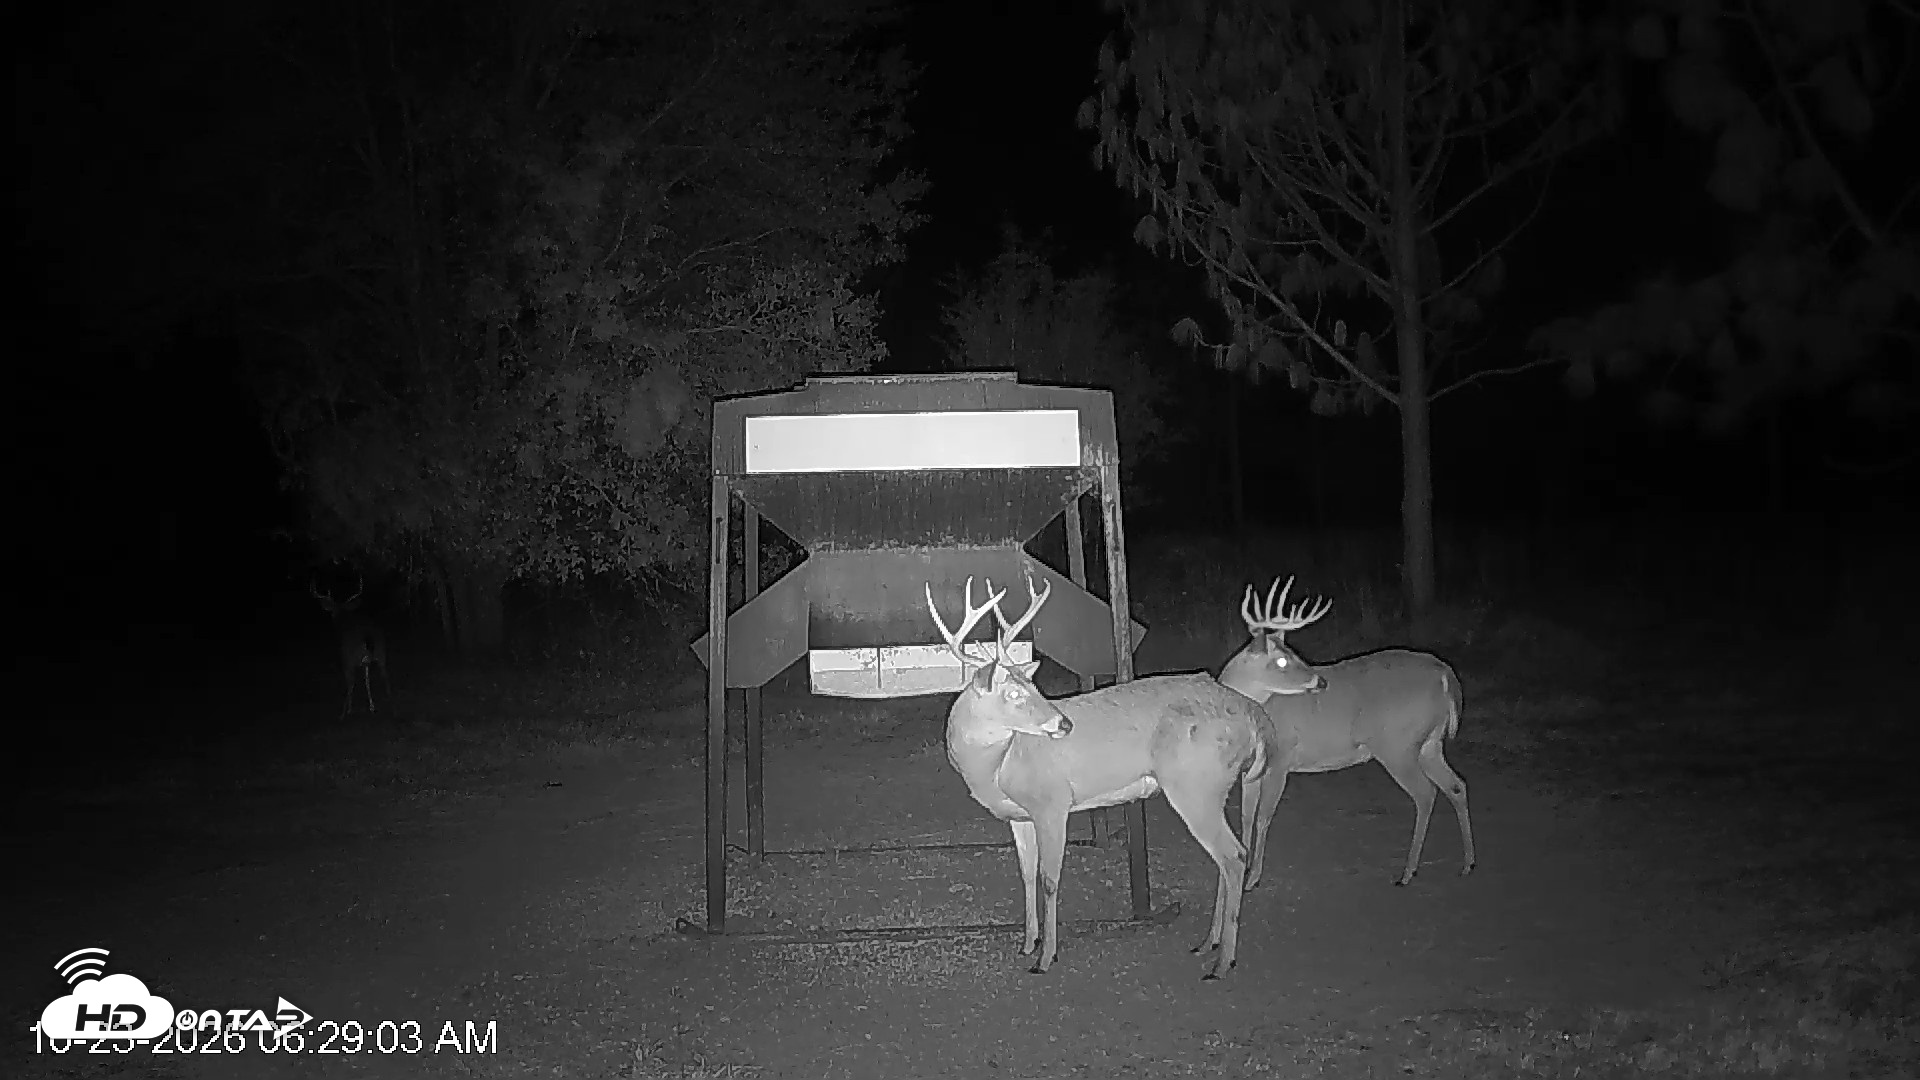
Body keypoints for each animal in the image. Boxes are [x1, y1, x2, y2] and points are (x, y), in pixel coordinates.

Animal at [310, 574, 389, 719]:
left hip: (350, 659)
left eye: (333, 611)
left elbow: (353, 683)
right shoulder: (365, 662)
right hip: (381, 653)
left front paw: (349, 710)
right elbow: (367, 680)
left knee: (351, 683)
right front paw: (372, 707)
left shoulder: (346, 660)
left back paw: (343, 713)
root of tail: (367, 636)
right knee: (385, 677)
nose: (333, 618)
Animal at [927, 571, 1313, 980]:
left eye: (1034, 686)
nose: (1064, 724)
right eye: (1015, 693)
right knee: (1229, 856)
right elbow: (1027, 874)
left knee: (1233, 856)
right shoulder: (1019, 815)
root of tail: (1253, 714)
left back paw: (1222, 963)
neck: (999, 764)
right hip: (1213, 787)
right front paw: (1027, 943)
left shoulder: (1052, 803)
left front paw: (1045, 958)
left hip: (1195, 785)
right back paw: (1208, 943)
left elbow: (1049, 879)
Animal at [1218, 577, 1475, 888]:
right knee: (1456, 785)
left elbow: (1263, 817)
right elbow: (1245, 816)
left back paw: (1407, 873)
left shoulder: (1281, 760)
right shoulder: (1250, 768)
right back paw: (1467, 863)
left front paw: (1253, 878)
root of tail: (1445, 674)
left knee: (1426, 793)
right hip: (1430, 743)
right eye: (1281, 660)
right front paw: (1243, 867)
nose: (1320, 681)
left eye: (1295, 654)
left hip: (1397, 745)